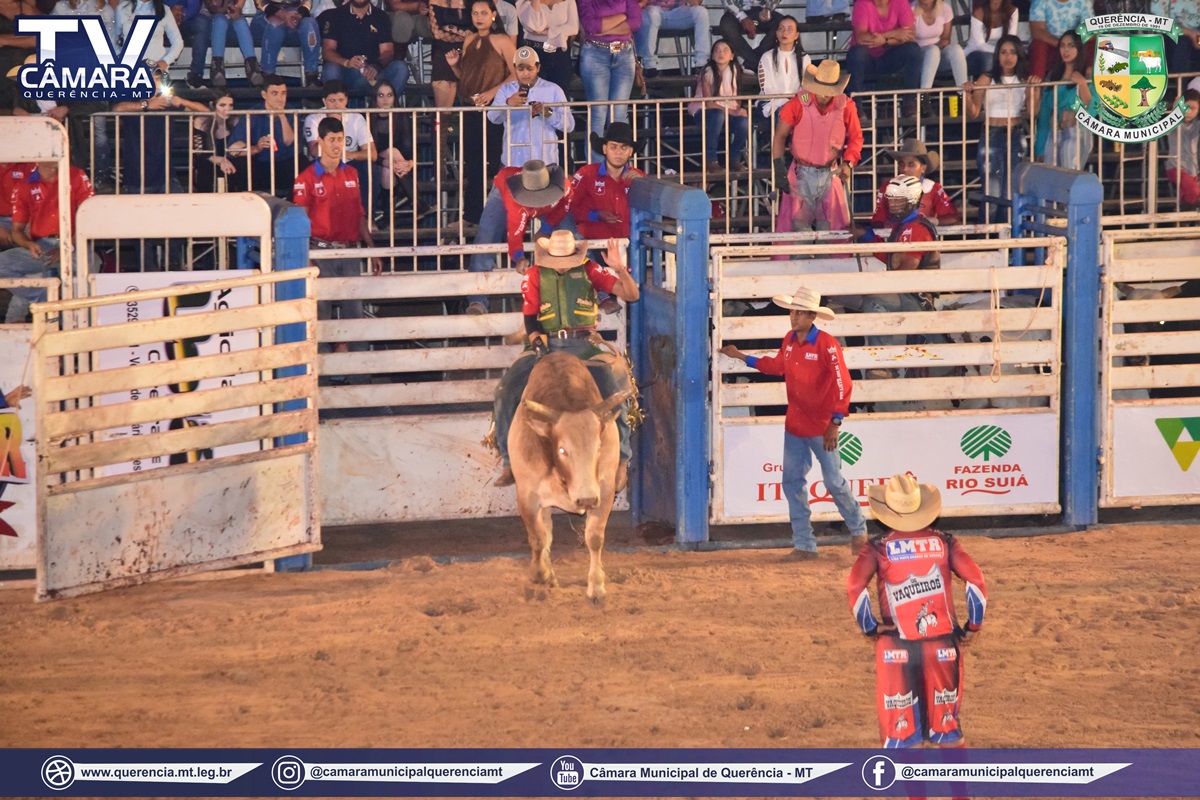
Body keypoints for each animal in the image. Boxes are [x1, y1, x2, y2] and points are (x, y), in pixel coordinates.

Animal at [509, 351, 631, 602]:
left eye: (598, 447)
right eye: (563, 450)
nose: (586, 499)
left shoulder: (604, 491)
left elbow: (594, 538)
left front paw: (597, 586)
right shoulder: (527, 496)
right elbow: (537, 538)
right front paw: (541, 574)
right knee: (544, 533)